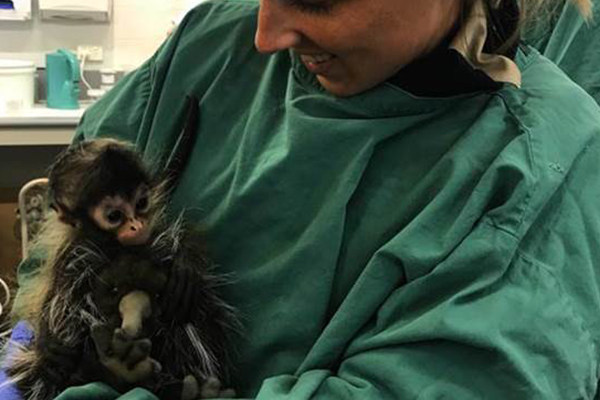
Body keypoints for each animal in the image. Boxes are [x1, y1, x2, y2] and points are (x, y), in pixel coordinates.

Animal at [5, 138, 239, 400]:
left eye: (141, 203)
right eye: (114, 215)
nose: (136, 225)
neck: (114, 246)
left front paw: (185, 265)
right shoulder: (72, 253)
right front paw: (47, 346)